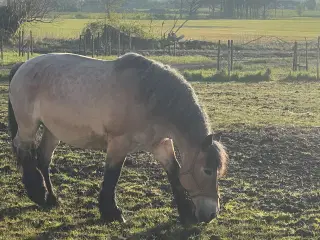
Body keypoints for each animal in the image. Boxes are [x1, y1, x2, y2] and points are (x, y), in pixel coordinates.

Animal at [7, 51, 228, 224]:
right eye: (207, 170)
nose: (211, 214)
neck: (149, 97)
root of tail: (22, 66)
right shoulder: (119, 144)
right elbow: (112, 175)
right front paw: (111, 213)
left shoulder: (160, 144)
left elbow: (174, 172)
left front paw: (186, 213)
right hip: (28, 127)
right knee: (23, 150)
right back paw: (38, 194)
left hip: (52, 131)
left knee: (43, 159)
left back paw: (52, 198)